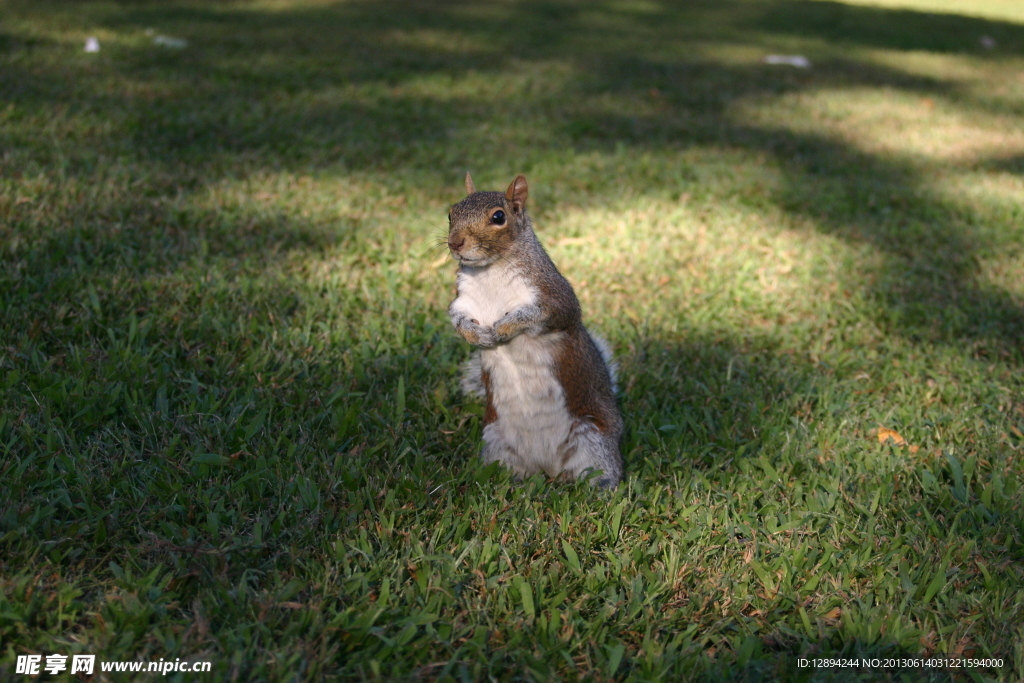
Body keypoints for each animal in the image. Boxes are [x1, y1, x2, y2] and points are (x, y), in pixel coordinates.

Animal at [444, 174, 618, 489]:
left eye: (498, 217)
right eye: (451, 213)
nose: (455, 243)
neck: (490, 271)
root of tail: (548, 468)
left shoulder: (553, 297)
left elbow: (539, 314)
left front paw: (503, 328)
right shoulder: (462, 301)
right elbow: (458, 321)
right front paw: (478, 336)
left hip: (593, 439)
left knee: (599, 470)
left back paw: (602, 489)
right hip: (496, 442)